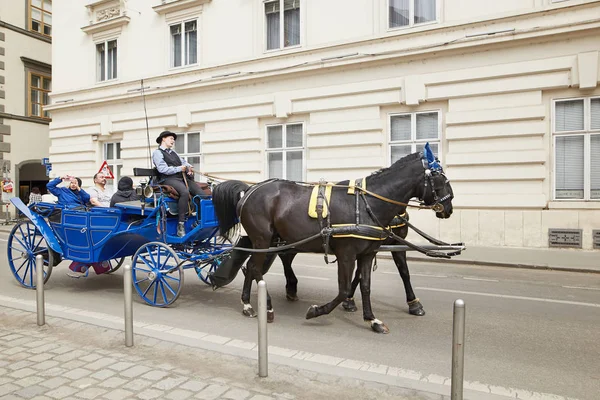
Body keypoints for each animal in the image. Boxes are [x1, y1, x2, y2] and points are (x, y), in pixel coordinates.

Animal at [213, 148, 452, 332]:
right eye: (440, 178)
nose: (449, 207)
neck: (366, 204)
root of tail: (249, 189)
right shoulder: (347, 254)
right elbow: (344, 289)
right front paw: (317, 310)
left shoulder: (368, 254)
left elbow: (366, 285)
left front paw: (372, 319)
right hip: (263, 239)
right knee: (255, 268)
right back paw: (267, 306)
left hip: (269, 241)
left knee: (252, 267)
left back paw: (248, 304)